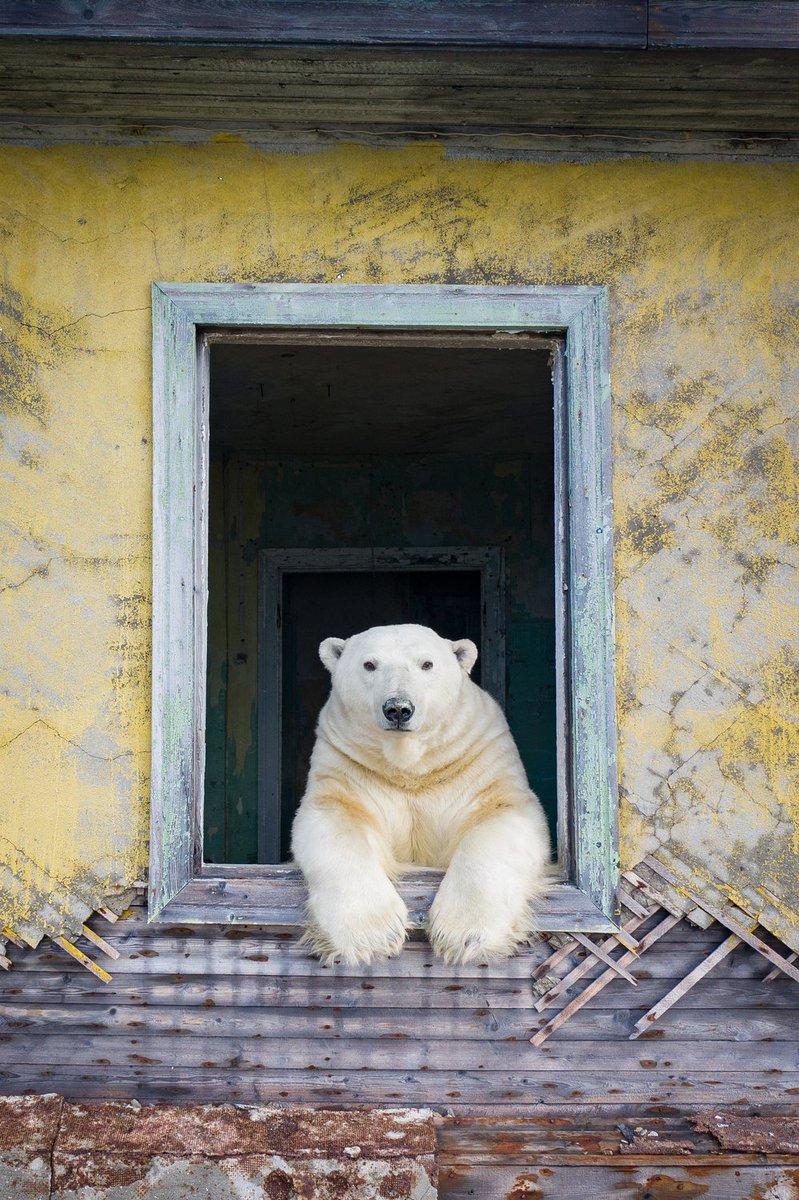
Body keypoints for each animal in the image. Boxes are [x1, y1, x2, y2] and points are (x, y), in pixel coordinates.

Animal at [291, 623, 552, 965]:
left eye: (427, 664)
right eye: (369, 664)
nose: (398, 709)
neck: (410, 768)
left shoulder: (477, 758)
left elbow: (500, 818)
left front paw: (463, 935)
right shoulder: (348, 765)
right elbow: (334, 820)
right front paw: (372, 936)